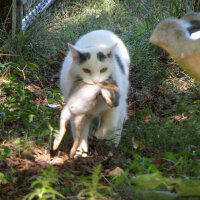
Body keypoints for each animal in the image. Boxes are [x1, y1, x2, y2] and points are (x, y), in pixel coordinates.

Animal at [58, 29, 130, 157]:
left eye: (103, 70)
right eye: (86, 70)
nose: (96, 81)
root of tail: (102, 30)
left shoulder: (114, 106)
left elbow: (111, 124)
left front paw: (101, 135)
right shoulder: (77, 112)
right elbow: (79, 134)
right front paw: (80, 153)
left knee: (119, 119)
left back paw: (113, 142)